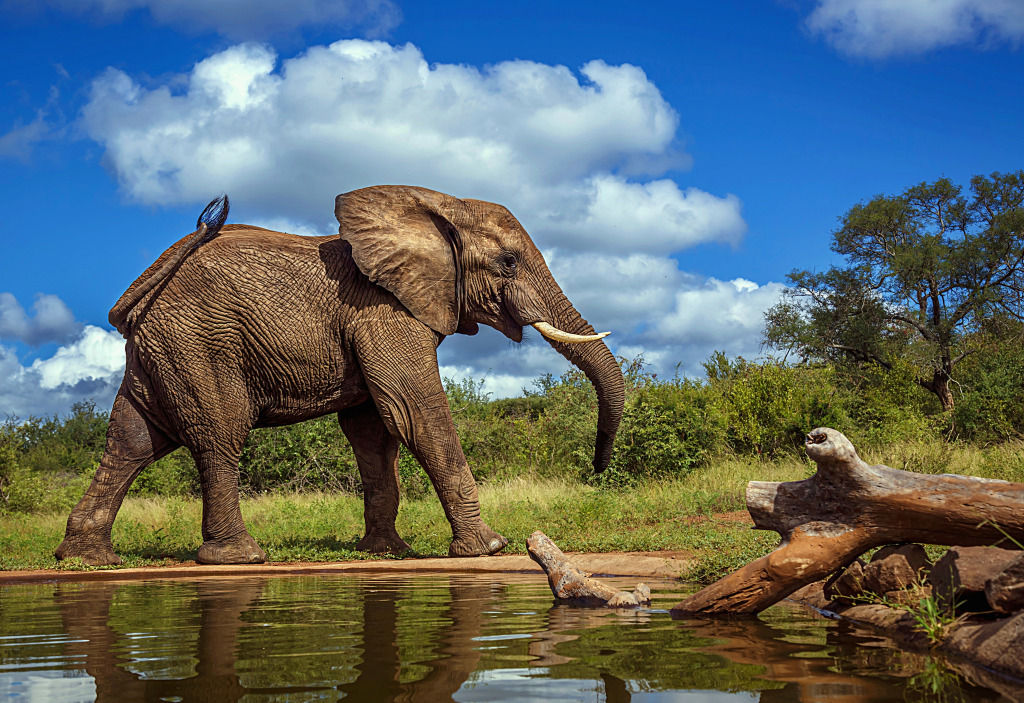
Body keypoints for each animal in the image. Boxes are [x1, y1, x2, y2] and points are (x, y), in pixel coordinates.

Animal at [55, 186, 625, 566]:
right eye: (508, 262)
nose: (597, 472)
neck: (438, 205)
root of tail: (145, 288)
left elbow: (374, 432)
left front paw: (387, 552)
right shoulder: (383, 310)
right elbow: (415, 411)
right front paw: (487, 547)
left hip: (162, 351)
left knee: (132, 440)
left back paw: (85, 559)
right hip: (201, 344)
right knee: (218, 435)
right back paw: (240, 558)